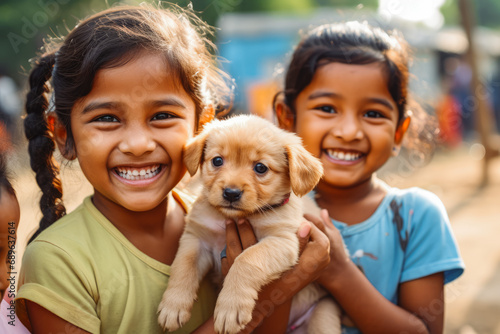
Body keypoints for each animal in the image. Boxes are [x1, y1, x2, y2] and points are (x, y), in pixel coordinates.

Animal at [158, 115, 342, 334]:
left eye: (260, 168)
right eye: (217, 160)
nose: (231, 193)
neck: (233, 217)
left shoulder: (283, 241)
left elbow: (246, 260)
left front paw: (230, 307)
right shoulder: (196, 239)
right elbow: (183, 266)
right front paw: (173, 305)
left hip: (323, 313)